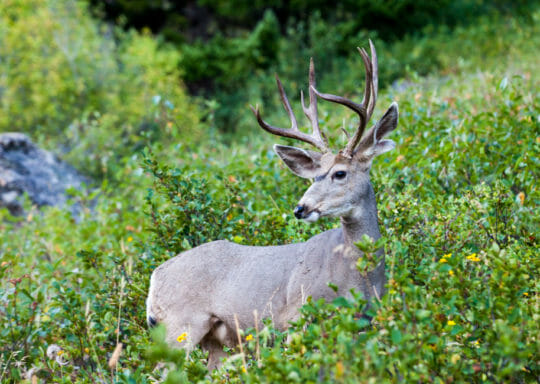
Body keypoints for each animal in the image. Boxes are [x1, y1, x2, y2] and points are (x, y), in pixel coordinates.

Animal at [146, 41, 398, 368]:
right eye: (314, 176)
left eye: (339, 173)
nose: (300, 208)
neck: (358, 277)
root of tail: (154, 279)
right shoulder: (298, 316)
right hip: (180, 326)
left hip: (215, 340)